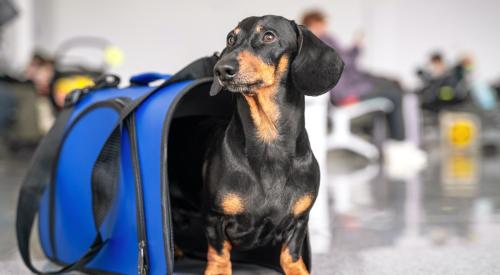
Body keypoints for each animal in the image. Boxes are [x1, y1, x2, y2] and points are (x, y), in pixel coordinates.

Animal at [203, 15, 344, 275]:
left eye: (269, 36)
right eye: (231, 38)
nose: (221, 69)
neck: (269, 143)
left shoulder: (300, 221)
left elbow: (291, 254)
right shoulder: (212, 216)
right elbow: (218, 252)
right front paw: (218, 269)